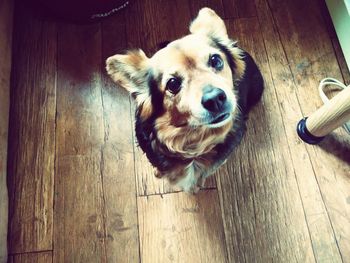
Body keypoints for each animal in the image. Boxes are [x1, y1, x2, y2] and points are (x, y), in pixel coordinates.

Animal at [106, 7, 262, 194]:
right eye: (173, 83)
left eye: (216, 60)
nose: (215, 99)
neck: (192, 139)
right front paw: (160, 173)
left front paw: (197, 185)